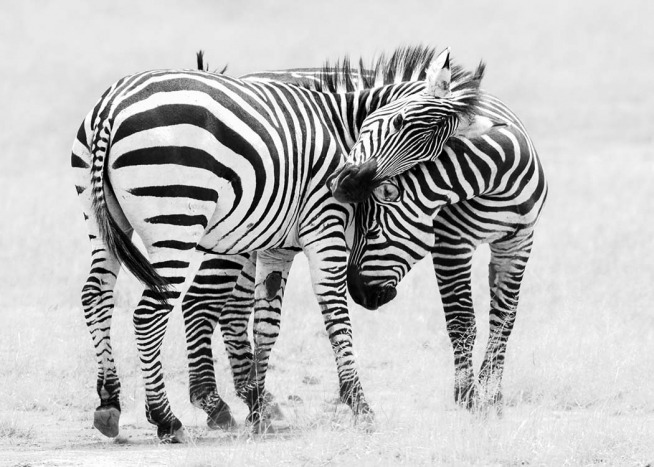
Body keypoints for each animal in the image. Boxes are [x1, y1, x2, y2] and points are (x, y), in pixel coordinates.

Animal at [71, 47, 484, 441]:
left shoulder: (278, 246)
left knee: (96, 297)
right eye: (399, 123)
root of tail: (113, 105)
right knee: (150, 314)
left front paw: (258, 409)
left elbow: (267, 322)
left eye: (429, 153)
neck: (341, 127)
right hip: (177, 221)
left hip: (103, 221)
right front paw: (360, 404)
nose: (346, 185)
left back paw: (109, 402)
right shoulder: (324, 227)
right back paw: (166, 419)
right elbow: (334, 312)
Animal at [339, 79, 547, 410]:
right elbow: (461, 321)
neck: (500, 183)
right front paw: (467, 396)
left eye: (371, 232)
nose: (357, 294)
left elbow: (504, 318)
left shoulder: (519, 243)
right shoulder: (451, 245)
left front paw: (491, 392)